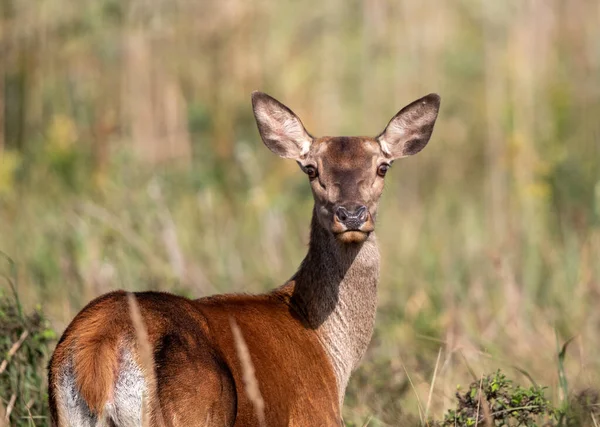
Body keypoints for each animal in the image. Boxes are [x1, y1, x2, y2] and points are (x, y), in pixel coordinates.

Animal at [48, 91, 440, 427]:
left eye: (383, 167)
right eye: (311, 169)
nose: (352, 214)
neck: (330, 350)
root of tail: (102, 348)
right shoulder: (313, 416)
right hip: (192, 413)